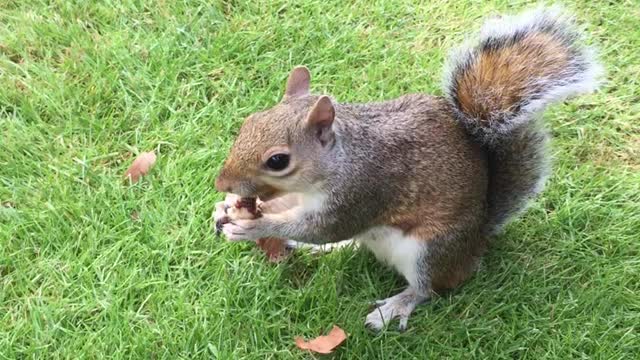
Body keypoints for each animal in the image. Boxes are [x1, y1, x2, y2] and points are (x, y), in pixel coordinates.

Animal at [212, 6, 604, 332]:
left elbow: (323, 228)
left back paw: (395, 307)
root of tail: (478, 240)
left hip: (429, 251)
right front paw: (226, 208)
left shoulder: (362, 192)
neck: (335, 162)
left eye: (278, 161)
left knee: (428, 289)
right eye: (249, 122)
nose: (221, 183)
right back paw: (330, 251)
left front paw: (255, 225)